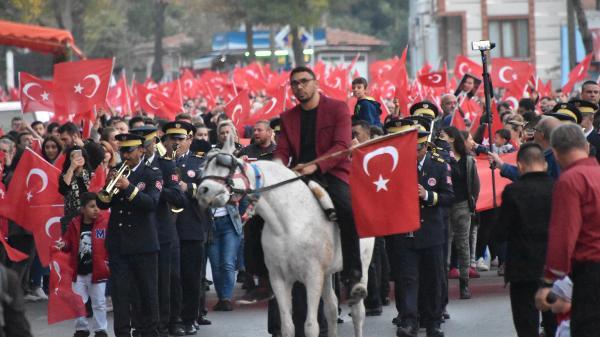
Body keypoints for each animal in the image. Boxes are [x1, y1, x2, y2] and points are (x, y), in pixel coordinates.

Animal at [197, 137, 376, 336]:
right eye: (204, 168)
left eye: (225, 165)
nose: (202, 191)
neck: (287, 224)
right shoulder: (279, 279)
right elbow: (287, 327)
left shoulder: (313, 277)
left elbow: (311, 326)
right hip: (327, 272)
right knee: (331, 307)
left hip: (362, 264)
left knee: (358, 312)